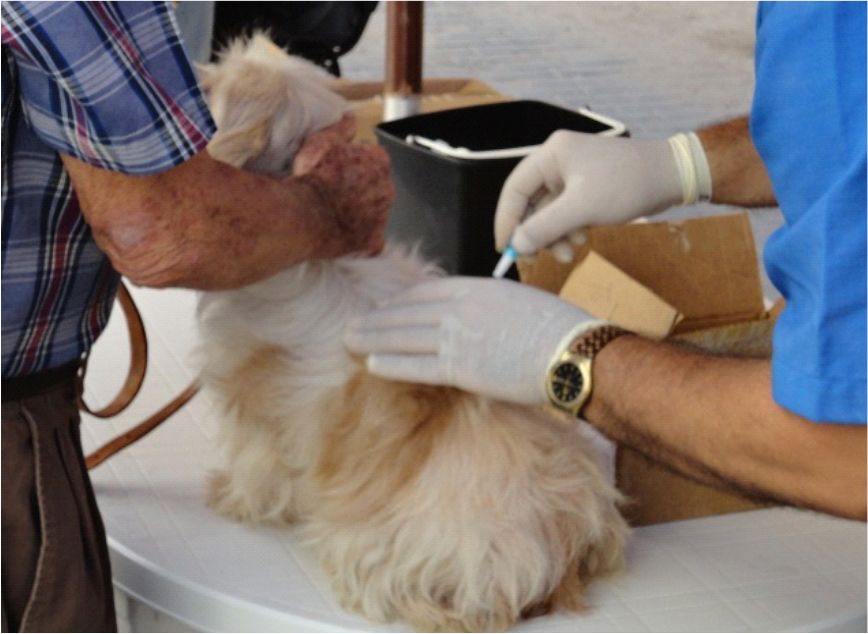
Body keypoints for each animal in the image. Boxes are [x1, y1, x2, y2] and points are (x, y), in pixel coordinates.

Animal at [199, 35, 628, 632]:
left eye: (214, 85)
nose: (193, 73)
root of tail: (559, 539)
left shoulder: (256, 406)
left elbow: (256, 465)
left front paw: (232, 497)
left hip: (383, 549)